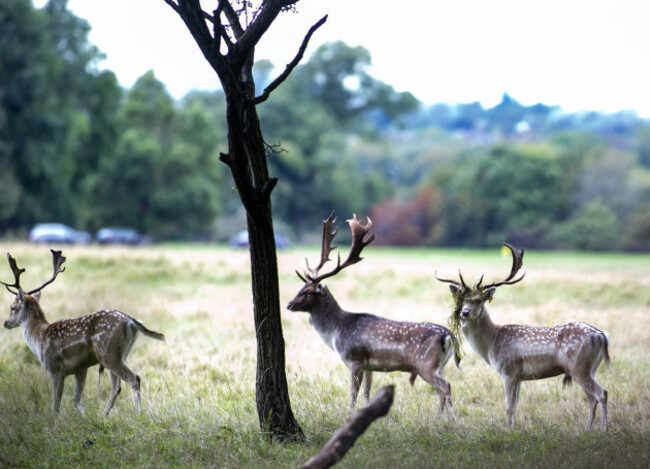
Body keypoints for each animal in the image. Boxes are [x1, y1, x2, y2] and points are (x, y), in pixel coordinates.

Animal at [2, 249, 165, 416]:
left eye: (12, 307)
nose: (6, 323)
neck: (39, 338)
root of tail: (130, 321)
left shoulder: (55, 369)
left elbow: (56, 404)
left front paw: (55, 422)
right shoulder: (80, 369)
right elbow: (76, 399)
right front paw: (85, 417)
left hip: (108, 353)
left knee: (134, 379)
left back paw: (138, 414)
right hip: (122, 354)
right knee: (116, 387)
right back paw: (104, 415)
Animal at [287, 212, 460, 416]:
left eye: (308, 292)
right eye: (301, 288)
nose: (289, 304)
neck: (337, 332)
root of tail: (449, 335)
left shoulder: (355, 360)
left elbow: (353, 392)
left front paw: (350, 414)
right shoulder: (369, 366)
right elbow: (367, 392)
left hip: (425, 364)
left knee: (445, 386)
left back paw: (448, 419)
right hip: (440, 365)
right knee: (443, 389)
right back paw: (440, 418)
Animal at [434, 244, 610, 430]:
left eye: (479, 300)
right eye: (461, 300)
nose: (464, 313)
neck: (492, 343)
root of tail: (601, 335)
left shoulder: (508, 371)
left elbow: (509, 406)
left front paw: (507, 429)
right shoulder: (519, 376)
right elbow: (516, 405)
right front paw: (513, 427)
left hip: (579, 367)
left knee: (601, 393)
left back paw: (604, 430)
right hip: (590, 368)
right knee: (592, 398)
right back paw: (588, 429)